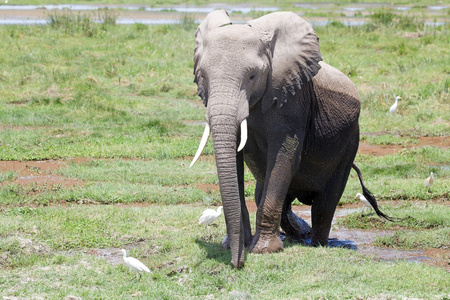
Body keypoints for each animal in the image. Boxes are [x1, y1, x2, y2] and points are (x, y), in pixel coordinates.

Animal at [190, 9, 390, 268]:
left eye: (253, 76)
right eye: (202, 76)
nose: (238, 263)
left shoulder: (294, 102)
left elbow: (285, 158)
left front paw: (264, 251)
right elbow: (235, 162)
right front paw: (237, 245)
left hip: (349, 142)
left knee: (325, 203)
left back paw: (316, 243)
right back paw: (299, 234)